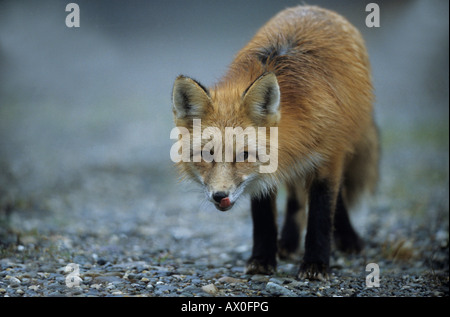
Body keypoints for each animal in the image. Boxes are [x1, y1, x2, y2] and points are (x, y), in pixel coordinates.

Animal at [171, 3, 378, 278]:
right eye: (207, 155)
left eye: (244, 155)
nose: (219, 195)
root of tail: (312, 7)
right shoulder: (264, 175)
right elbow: (264, 218)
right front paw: (262, 259)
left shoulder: (328, 156)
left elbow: (322, 212)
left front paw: (316, 263)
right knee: (295, 200)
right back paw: (288, 242)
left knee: (338, 199)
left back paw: (348, 239)